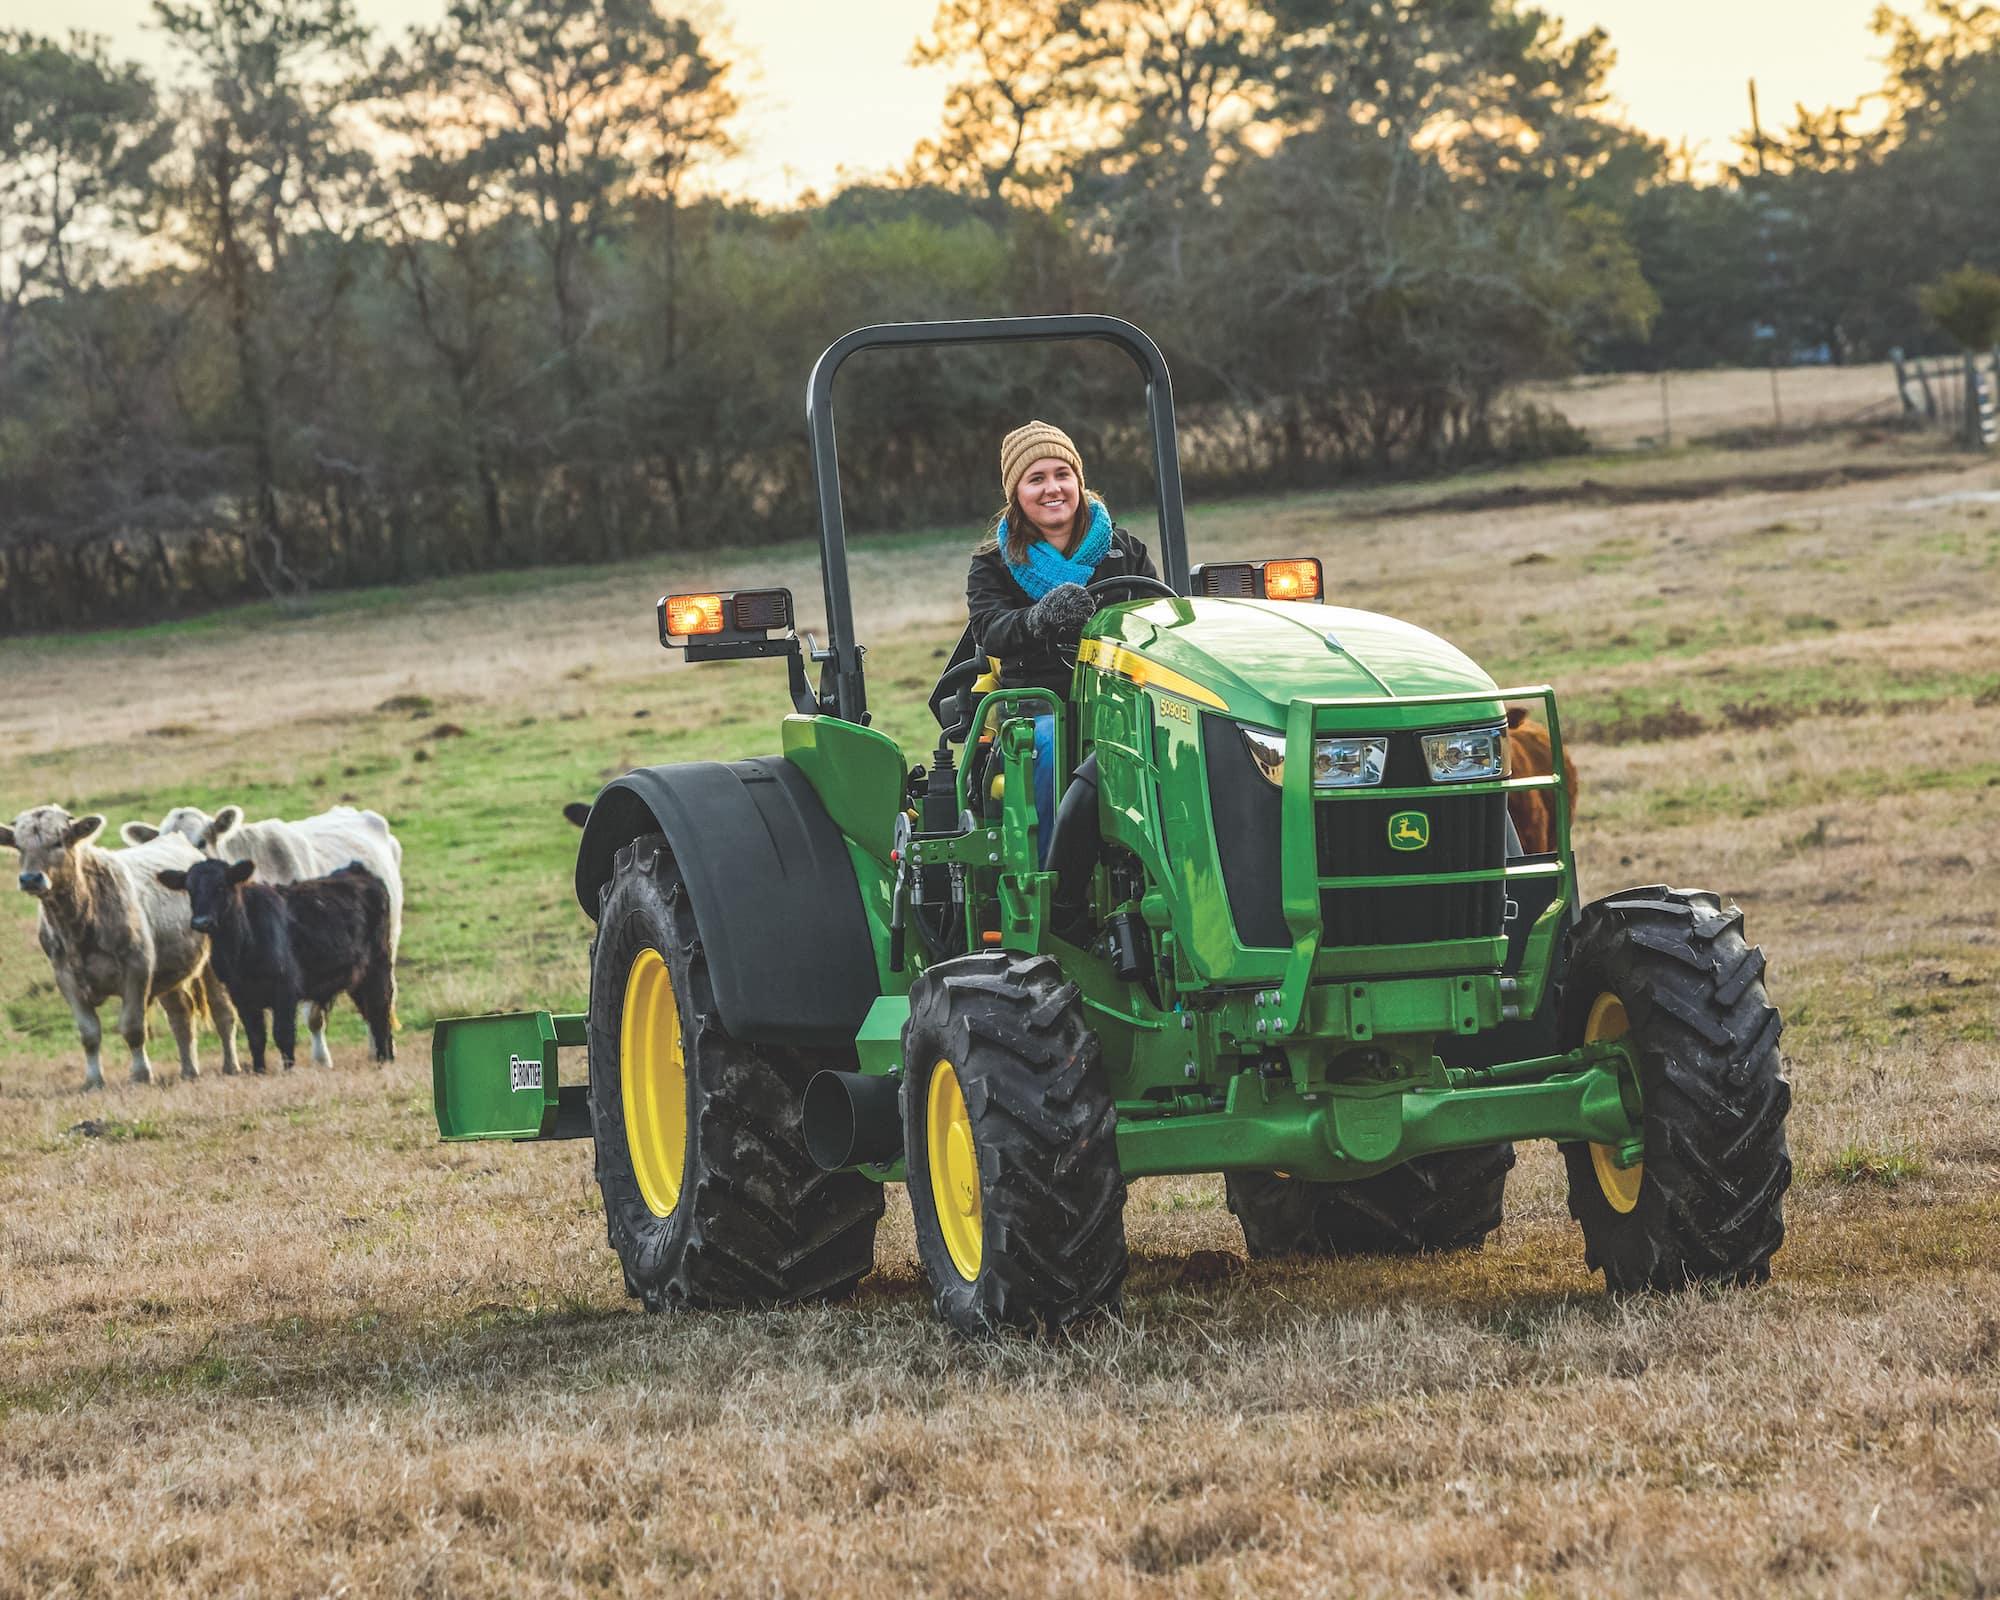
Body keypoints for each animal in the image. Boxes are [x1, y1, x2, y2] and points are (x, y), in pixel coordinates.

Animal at [2, 812, 241, 1088]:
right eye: (19, 846)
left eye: (58, 842)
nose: (30, 879)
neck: (79, 920)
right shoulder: (65, 978)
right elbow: (89, 1033)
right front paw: (94, 1080)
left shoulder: (137, 970)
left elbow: (132, 1027)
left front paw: (140, 1074)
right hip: (170, 971)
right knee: (181, 1015)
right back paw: (189, 1070)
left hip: (211, 965)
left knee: (222, 1010)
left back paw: (230, 1066)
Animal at [160, 856, 394, 1072]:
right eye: (190, 890)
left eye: (221, 886)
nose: (202, 922)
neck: (240, 947)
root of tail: (357, 870)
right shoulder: (241, 996)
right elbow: (256, 1038)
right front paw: (259, 1071)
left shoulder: (285, 990)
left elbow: (283, 1034)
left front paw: (288, 1070)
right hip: (357, 978)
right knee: (372, 1013)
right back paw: (385, 1057)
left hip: (378, 967)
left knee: (380, 1011)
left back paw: (385, 1059)